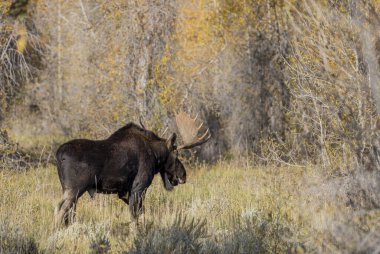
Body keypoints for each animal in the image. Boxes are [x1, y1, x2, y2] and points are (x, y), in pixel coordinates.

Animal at [54, 112, 211, 227]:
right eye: (176, 153)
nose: (183, 175)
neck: (155, 155)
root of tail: (59, 154)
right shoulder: (139, 186)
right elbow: (135, 215)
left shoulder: (124, 191)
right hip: (75, 189)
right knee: (60, 209)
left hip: (68, 189)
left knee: (67, 212)